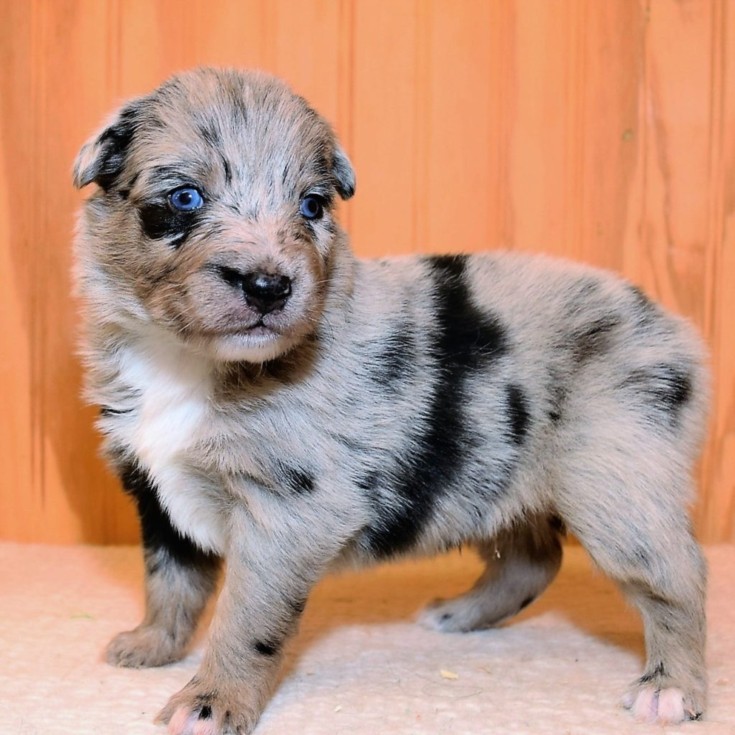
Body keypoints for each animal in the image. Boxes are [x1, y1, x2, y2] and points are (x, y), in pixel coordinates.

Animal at [73, 68, 709, 734]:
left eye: (312, 205)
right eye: (185, 199)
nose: (269, 287)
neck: (186, 361)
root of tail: (675, 329)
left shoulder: (287, 511)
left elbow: (246, 619)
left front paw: (211, 700)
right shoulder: (156, 494)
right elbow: (169, 581)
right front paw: (152, 644)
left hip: (617, 486)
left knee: (677, 577)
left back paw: (670, 688)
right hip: (489, 478)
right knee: (533, 558)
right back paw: (458, 614)